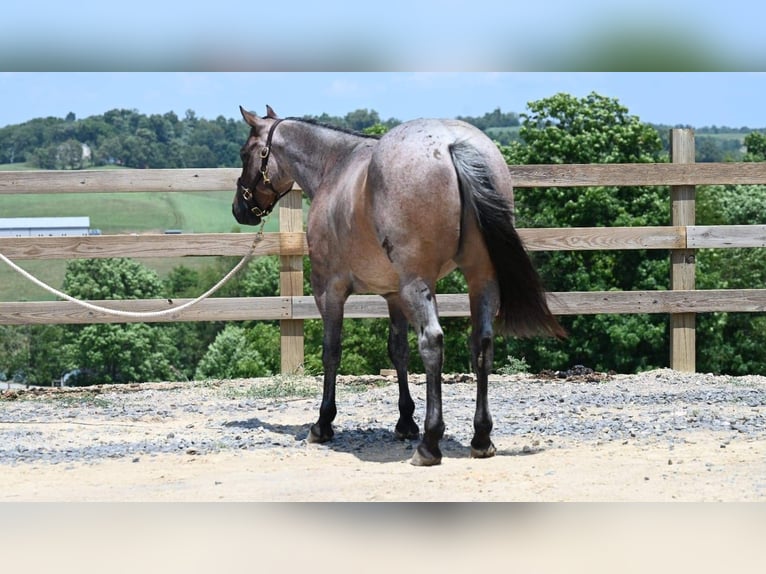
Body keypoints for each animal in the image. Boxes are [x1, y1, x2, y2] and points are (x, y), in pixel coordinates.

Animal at [232, 106, 564, 468]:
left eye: (245, 153)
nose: (240, 209)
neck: (335, 166)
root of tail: (452, 144)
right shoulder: (393, 295)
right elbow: (398, 351)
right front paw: (405, 421)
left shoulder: (329, 291)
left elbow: (331, 351)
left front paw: (323, 423)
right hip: (480, 279)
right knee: (482, 344)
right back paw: (481, 437)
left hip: (418, 284)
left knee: (432, 342)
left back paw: (430, 444)